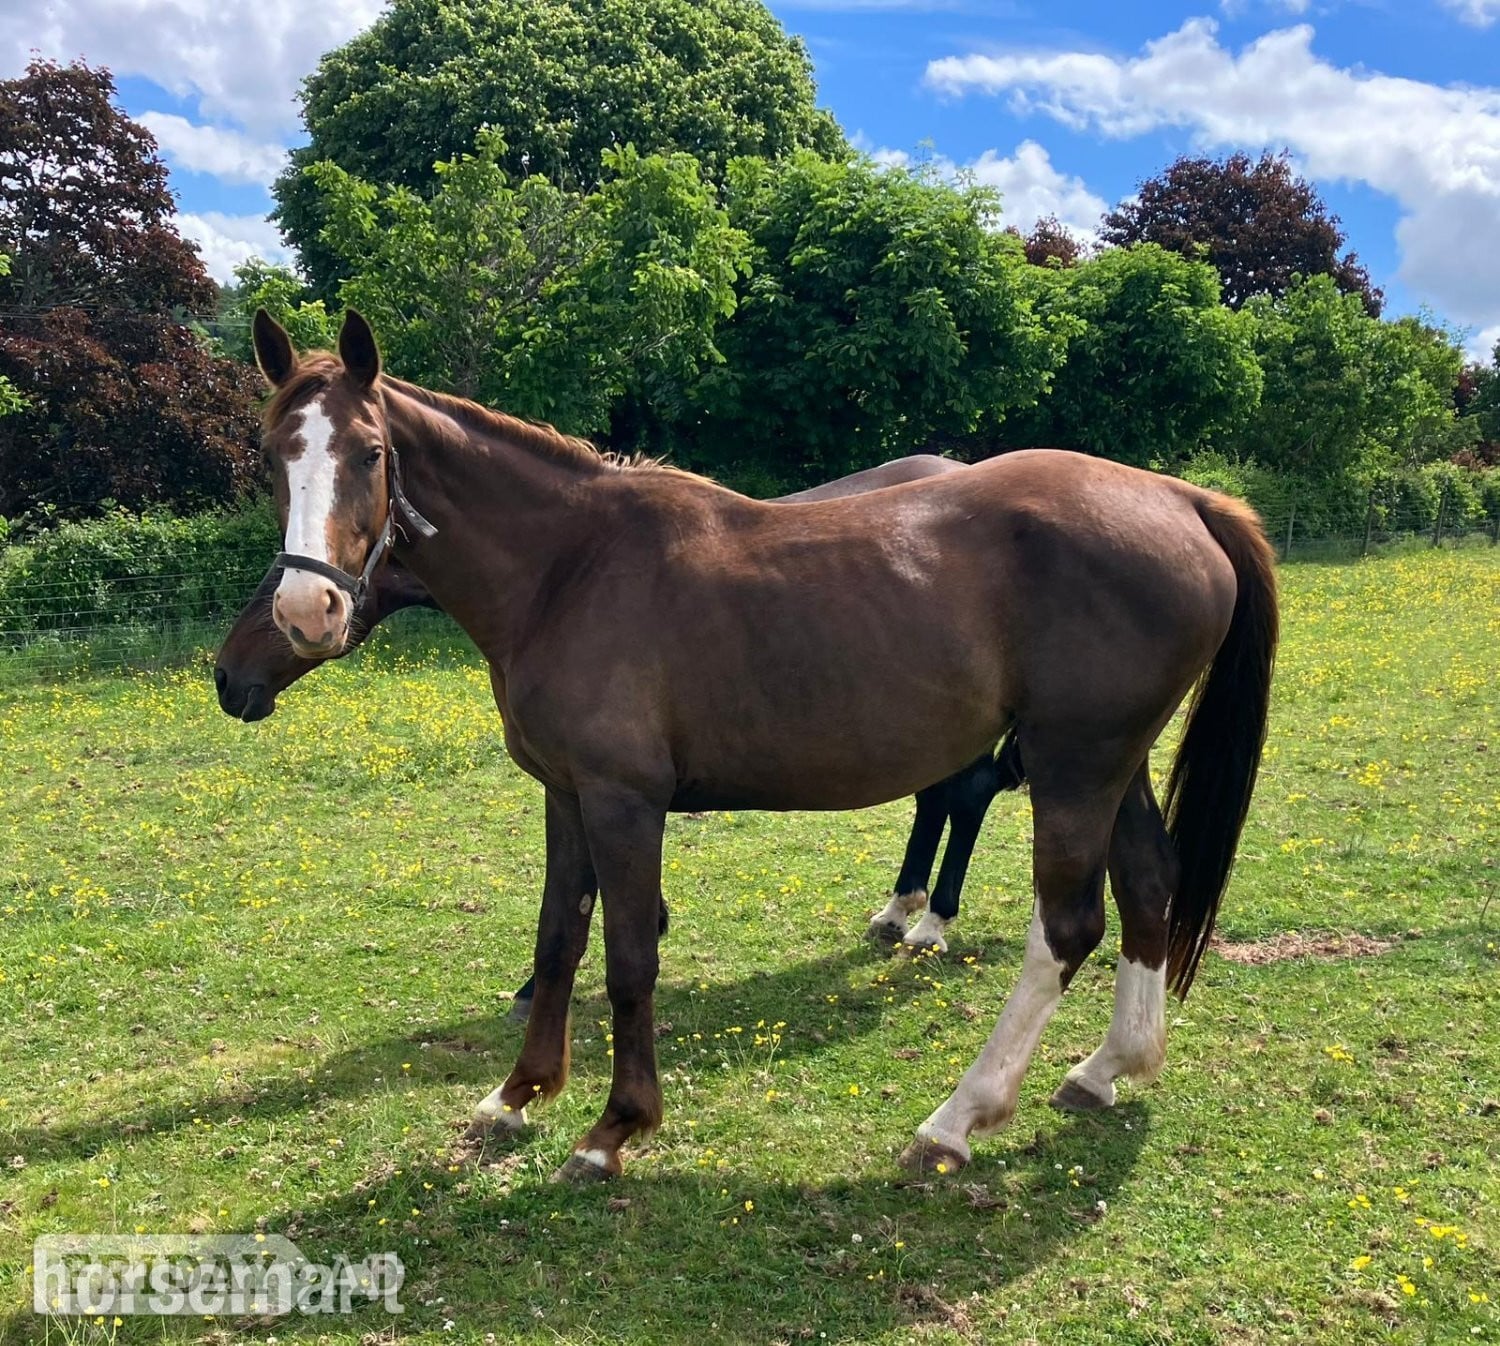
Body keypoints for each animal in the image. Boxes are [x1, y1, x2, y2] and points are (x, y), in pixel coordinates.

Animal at [248, 309, 1277, 1181]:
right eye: (271, 457)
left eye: (371, 452)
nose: (308, 609)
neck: (570, 567)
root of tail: (1182, 499)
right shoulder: (567, 792)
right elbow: (557, 938)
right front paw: (518, 1094)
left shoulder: (625, 802)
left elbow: (629, 957)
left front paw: (614, 1128)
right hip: (1112, 765)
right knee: (1149, 884)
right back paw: (1107, 1068)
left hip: (1074, 767)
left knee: (1067, 927)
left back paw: (958, 1117)